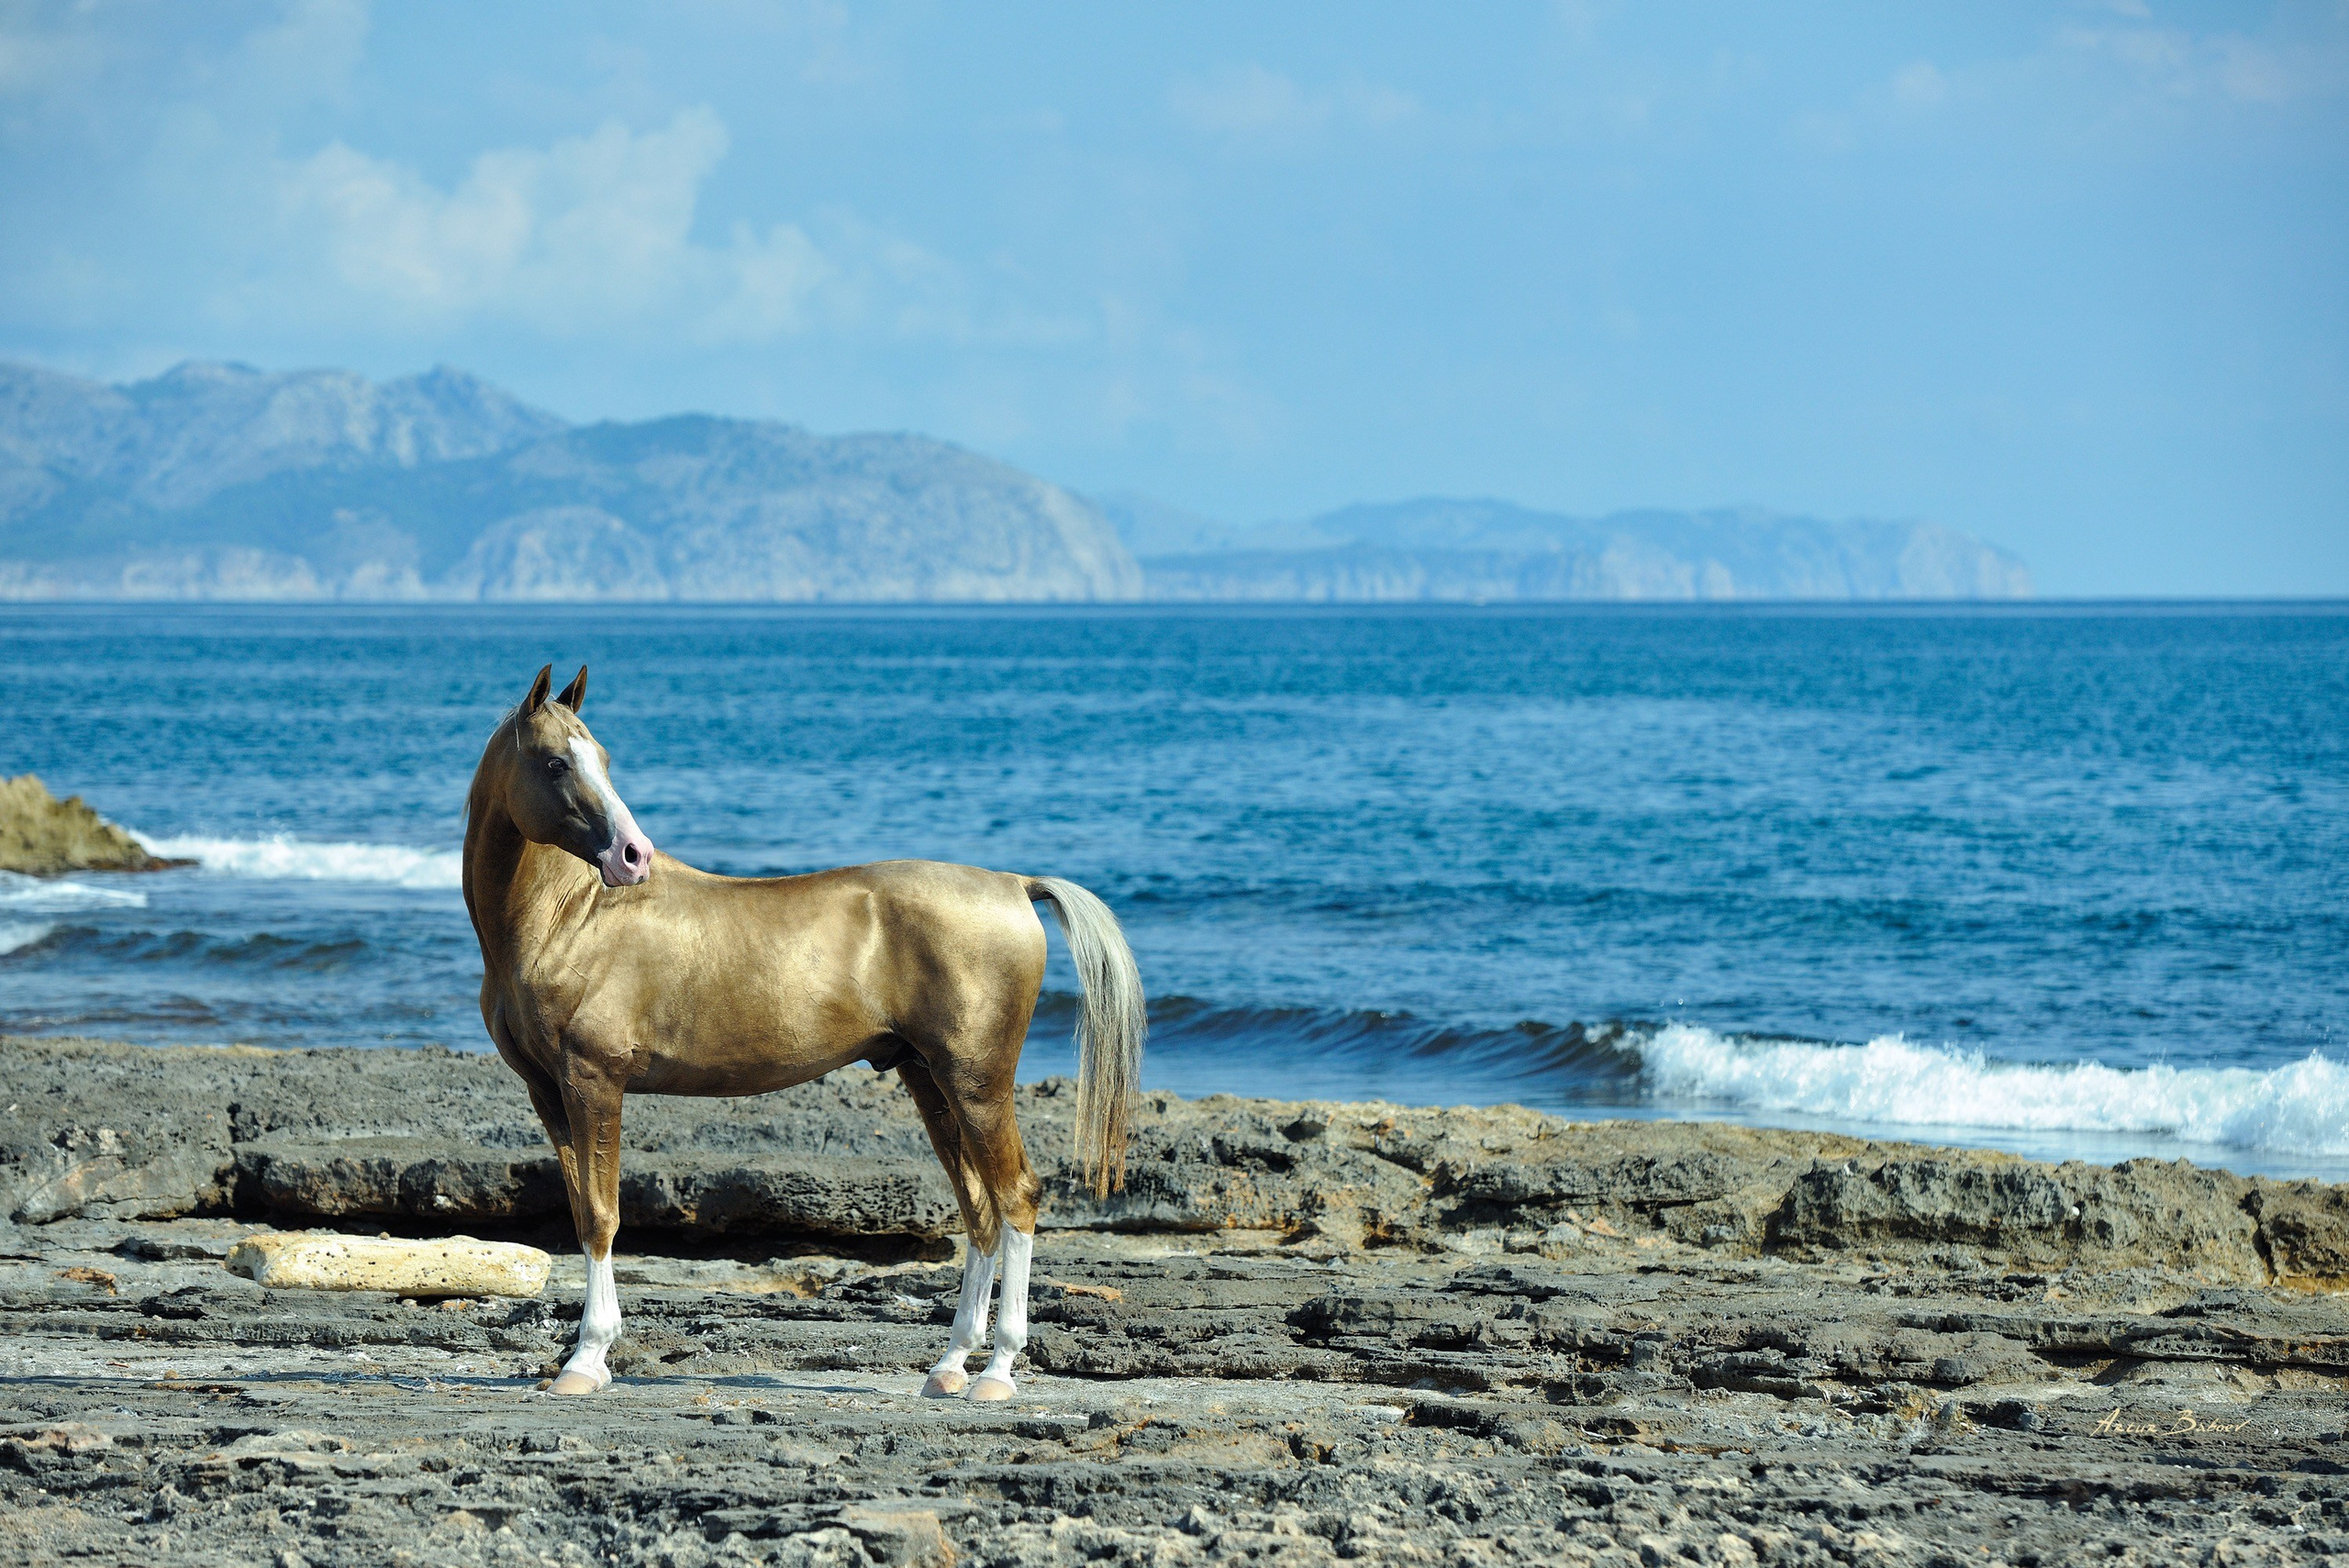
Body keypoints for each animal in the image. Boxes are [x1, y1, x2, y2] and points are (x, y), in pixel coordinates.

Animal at [460, 664, 1146, 1400]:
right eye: (556, 762)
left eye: (604, 760)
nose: (632, 855)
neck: (570, 917)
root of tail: (1016, 884)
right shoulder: (549, 1092)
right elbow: (582, 1210)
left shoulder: (594, 1082)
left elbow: (601, 1214)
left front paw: (586, 1359)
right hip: (930, 1079)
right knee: (981, 1211)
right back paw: (950, 1365)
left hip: (977, 1082)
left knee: (1016, 1198)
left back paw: (997, 1370)